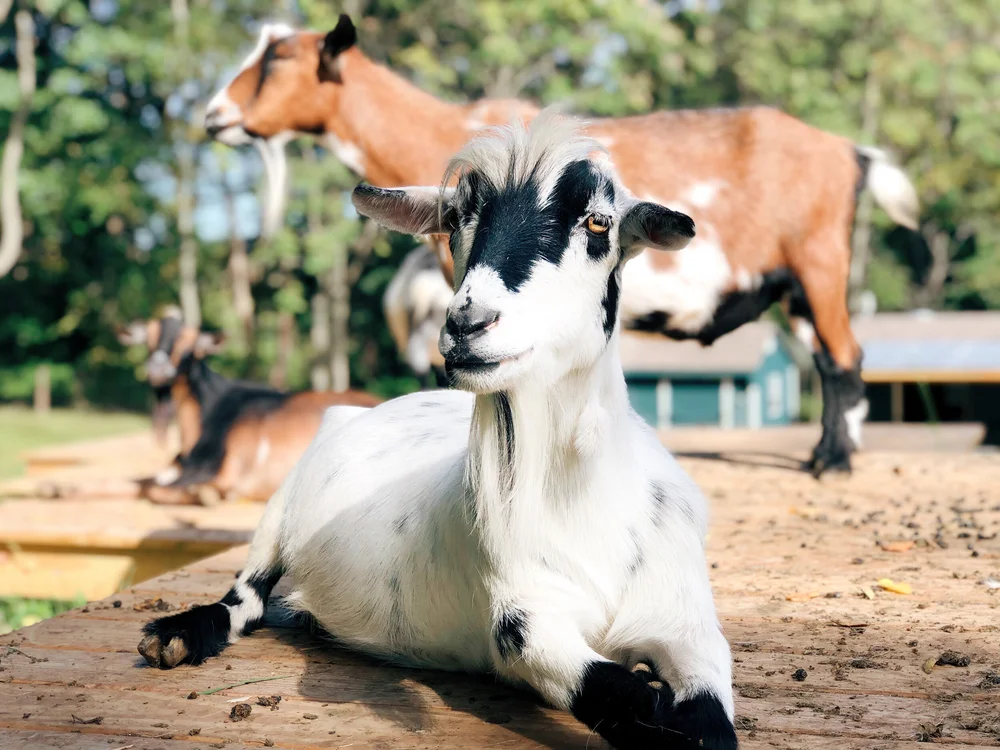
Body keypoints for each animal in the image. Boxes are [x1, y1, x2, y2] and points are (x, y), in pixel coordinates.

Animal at [118, 308, 380, 503]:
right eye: (149, 338)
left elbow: (155, 489)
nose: (158, 369)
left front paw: (207, 495)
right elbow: (142, 482)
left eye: (188, 343)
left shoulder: (221, 471)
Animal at [204, 15, 918, 477]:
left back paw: (834, 464)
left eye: (278, 59)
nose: (213, 115)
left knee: (844, 357)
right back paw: (826, 453)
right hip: (791, 283)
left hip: (819, 261)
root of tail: (846, 150)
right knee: (830, 359)